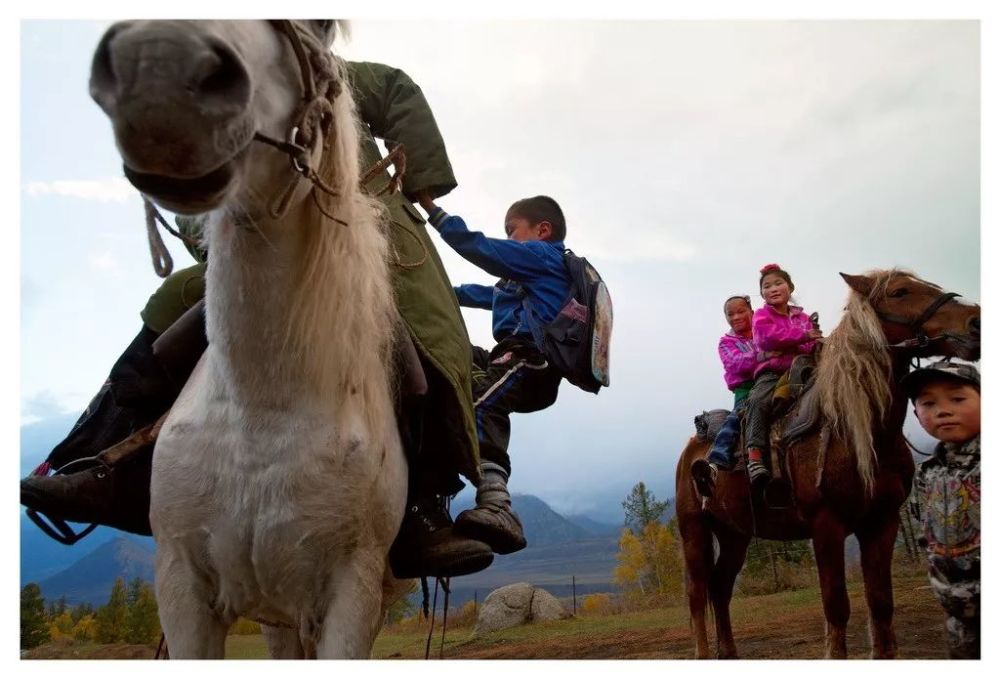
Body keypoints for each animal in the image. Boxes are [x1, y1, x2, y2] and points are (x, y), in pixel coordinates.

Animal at [676, 270, 980, 660]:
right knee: (697, 592)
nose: (975, 321)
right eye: (899, 292)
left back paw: (728, 652)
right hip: (694, 530)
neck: (860, 431)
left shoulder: (882, 522)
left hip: (734, 534)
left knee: (720, 586)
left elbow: (881, 603)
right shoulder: (826, 526)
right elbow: (836, 607)